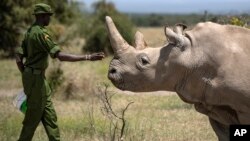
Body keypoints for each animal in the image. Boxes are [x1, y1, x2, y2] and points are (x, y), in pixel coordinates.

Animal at [105, 16, 250, 140]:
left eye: (144, 61)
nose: (111, 71)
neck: (192, 54)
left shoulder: (243, 107)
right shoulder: (215, 104)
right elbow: (223, 135)